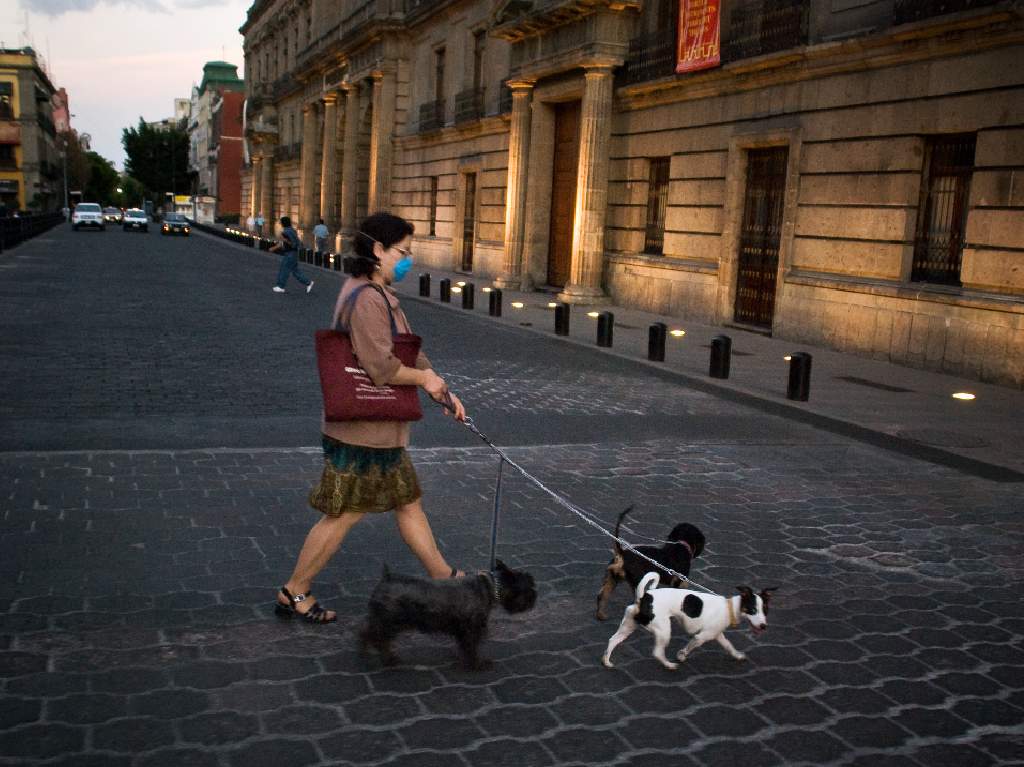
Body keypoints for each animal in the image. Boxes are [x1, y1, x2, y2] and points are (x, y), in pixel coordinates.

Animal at [358, 557, 536, 671]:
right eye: (529, 585)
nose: (534, 596)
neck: (491, 586)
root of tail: (386, 578)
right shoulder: (471, 629)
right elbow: (471, 647)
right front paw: (477, 664)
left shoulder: (463, 630)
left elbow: (465, 645)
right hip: (390, 621)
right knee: (378, 638)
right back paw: (386, 659)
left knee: (370, 633)